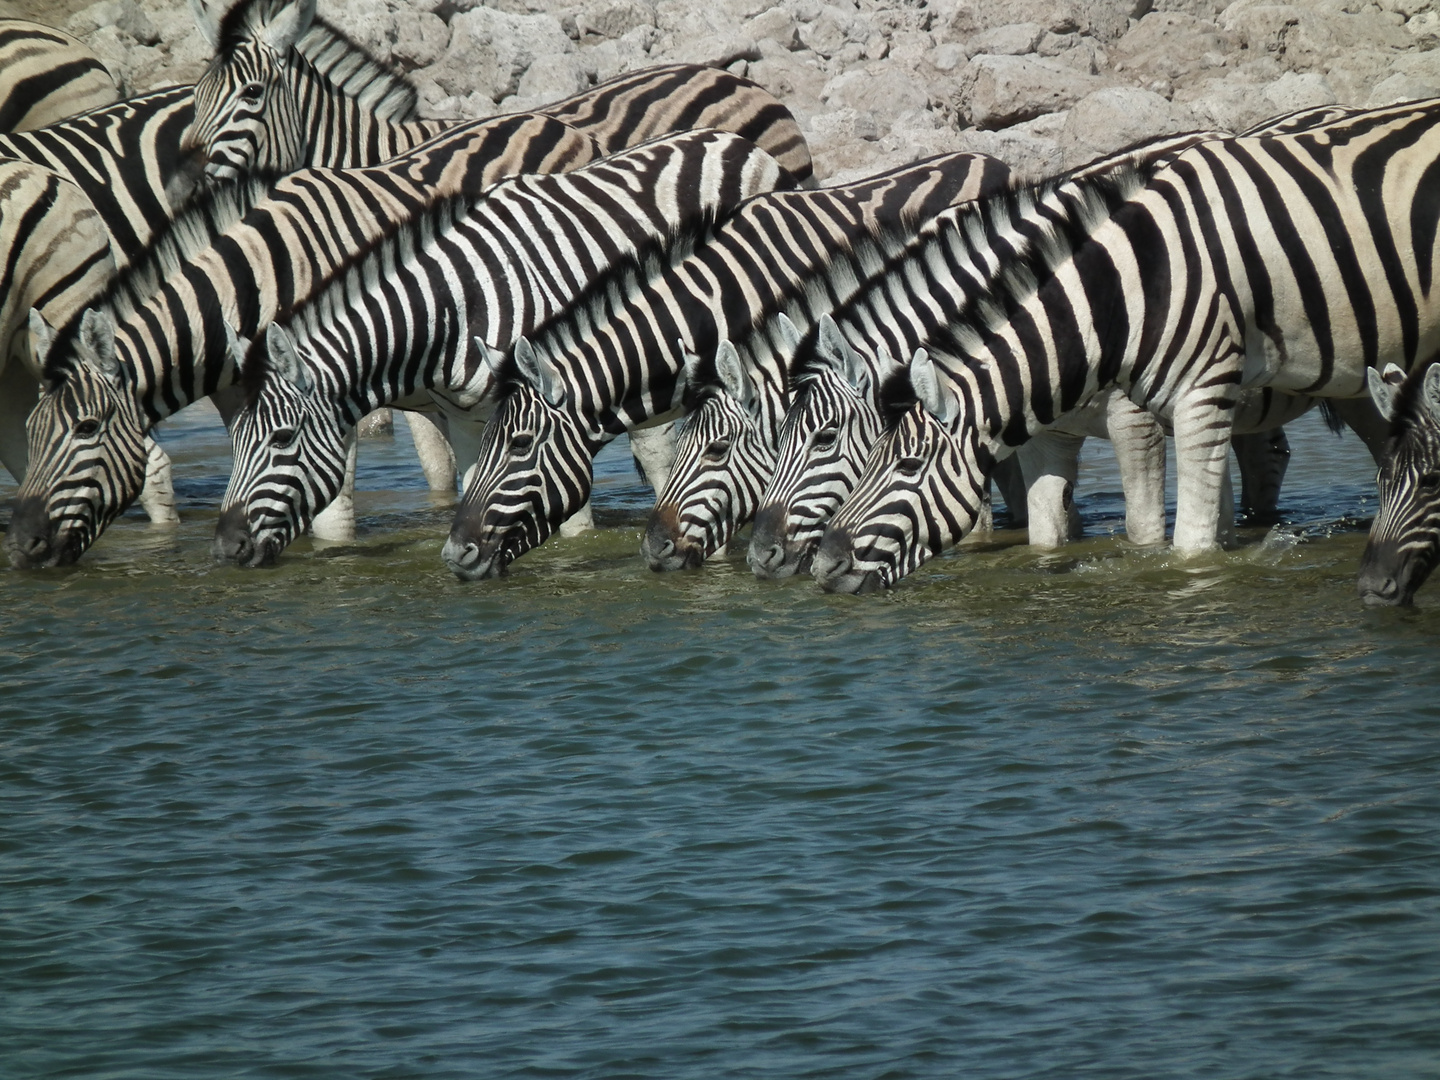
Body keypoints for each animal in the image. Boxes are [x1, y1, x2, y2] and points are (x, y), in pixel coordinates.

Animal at [1, 114, 607, 570]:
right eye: (31, 429)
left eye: (86, 428)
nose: (23, 546)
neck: (261, 281)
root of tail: (556, 121)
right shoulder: (243, 395)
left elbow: (332, 512)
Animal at [210, 130, 789, 567]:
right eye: (234, 438)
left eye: (282, 438)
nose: (224, 548)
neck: (455, 311)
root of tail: (733, 139)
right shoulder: (468, 423)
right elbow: (478, 491)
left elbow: (570, 523)